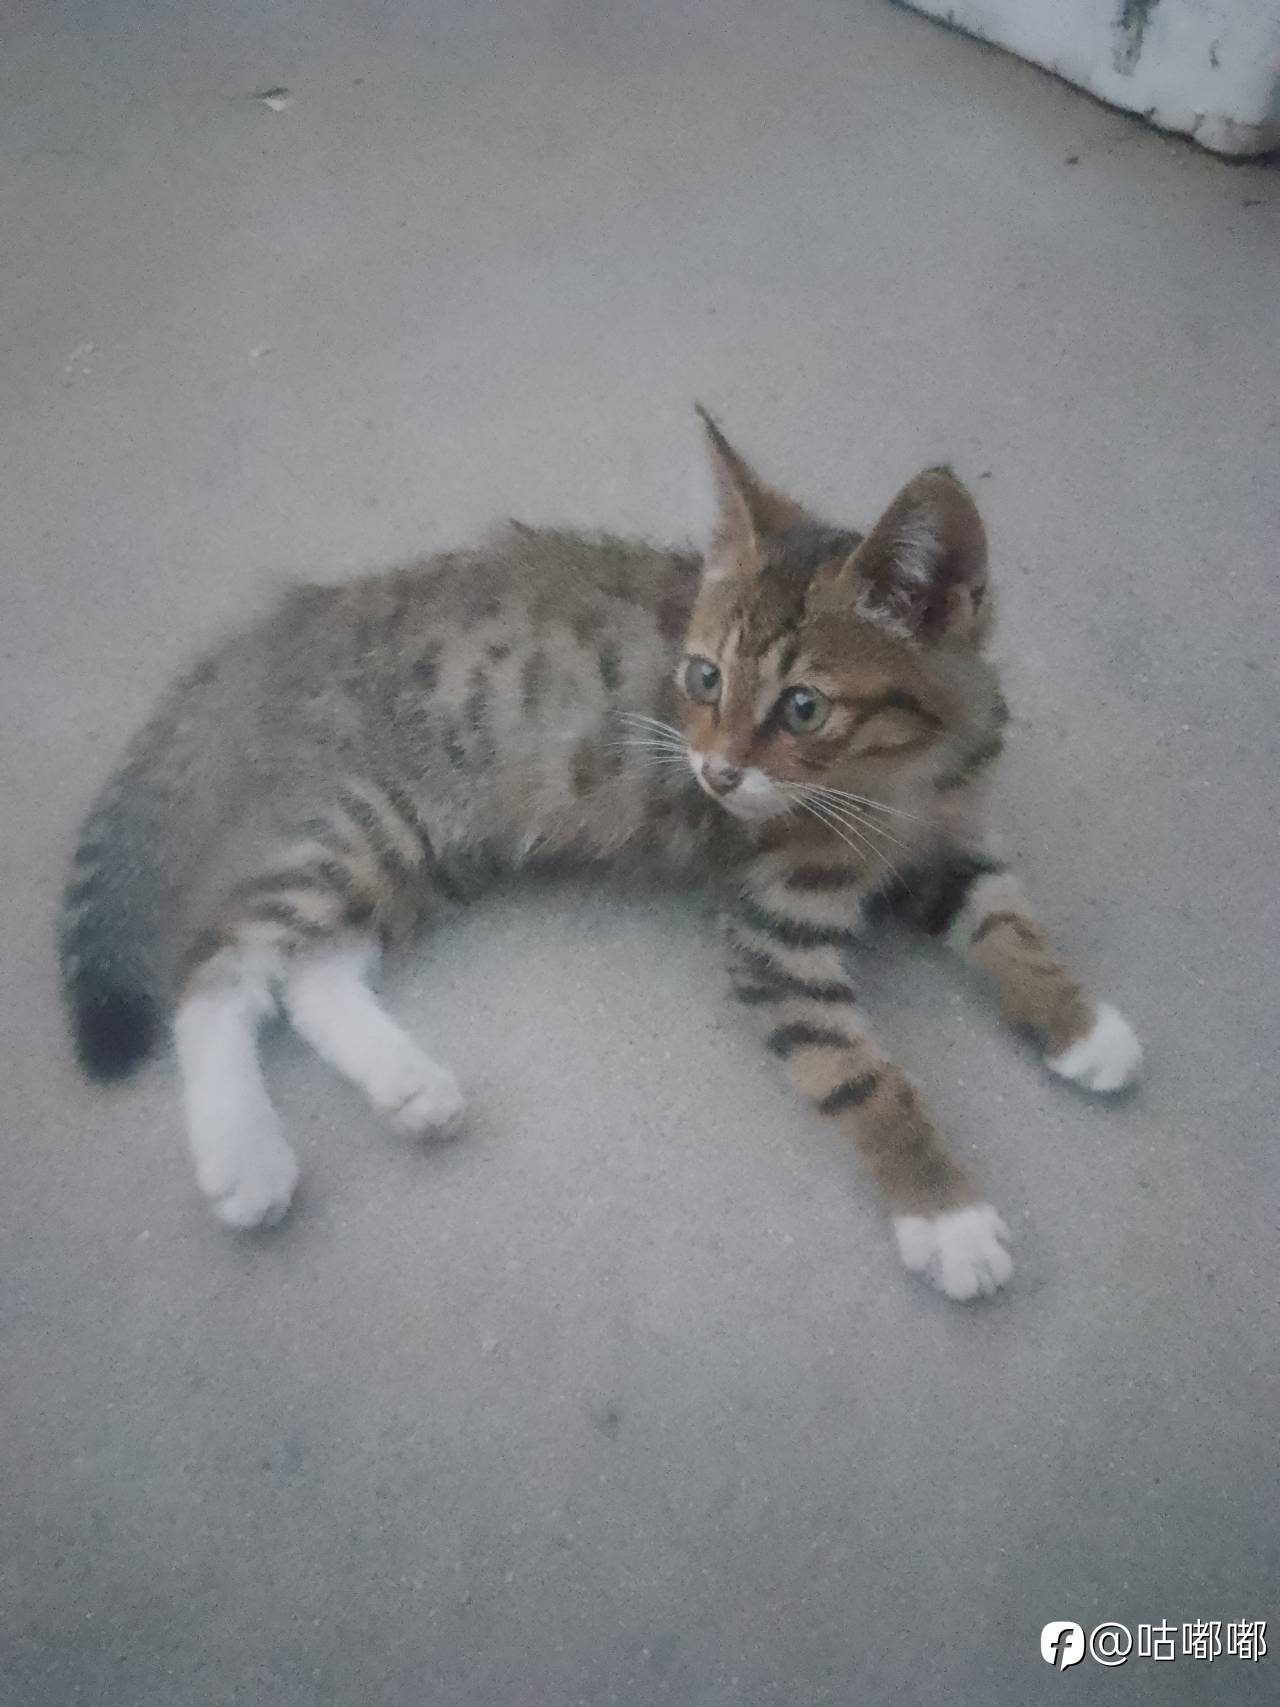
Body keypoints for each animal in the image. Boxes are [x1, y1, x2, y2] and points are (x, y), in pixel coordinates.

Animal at [60, 409, 1141, 1300]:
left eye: (802, 707)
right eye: (703, 679)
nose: (713, 773)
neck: (899, 781)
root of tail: (313, 609)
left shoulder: (948, 842)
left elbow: (1006, 923)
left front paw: (1075, 1020)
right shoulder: (774, 925)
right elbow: (853, 1069)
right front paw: (942, 1210)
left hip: (435, 843)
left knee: (313, 967)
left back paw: (407, 1085)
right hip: (376, 817)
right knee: (222, 964)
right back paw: (245, 1154)